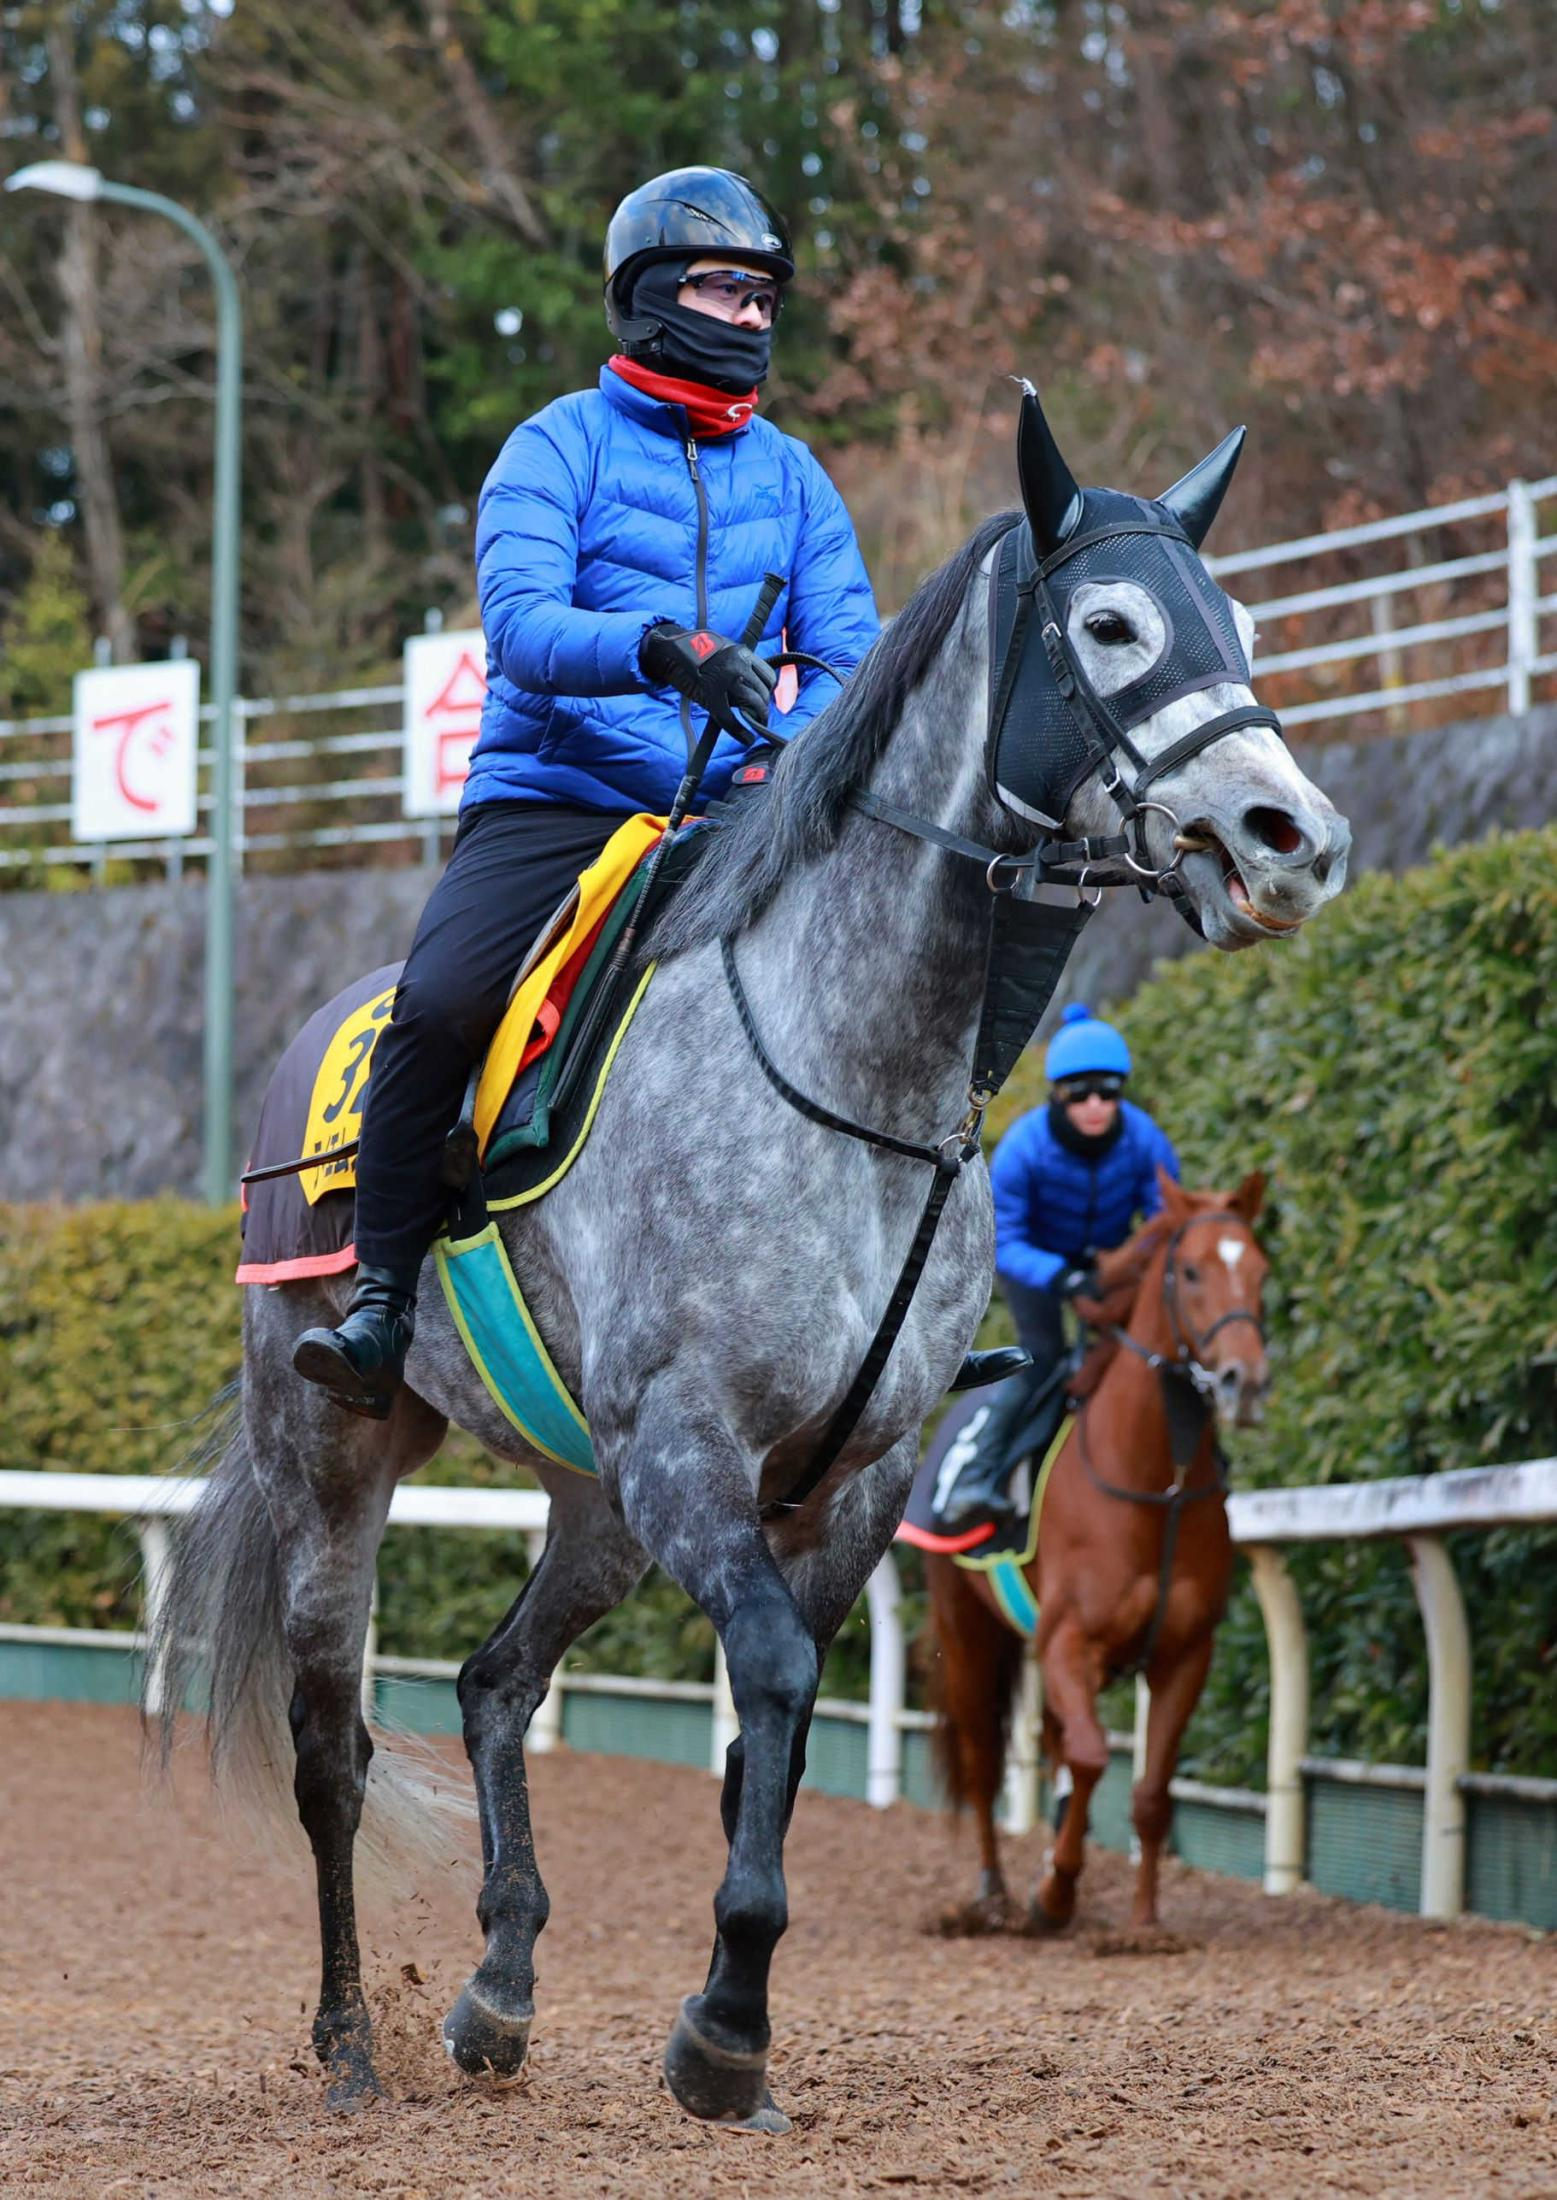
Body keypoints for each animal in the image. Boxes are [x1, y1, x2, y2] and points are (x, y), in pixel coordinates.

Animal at [923, 1170, 1266, 1927]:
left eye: (1262, 1267)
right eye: (1190, 1271)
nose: (1246, 1381)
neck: (1158, 1487)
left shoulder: (1184, 1652)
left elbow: (1150, 1790)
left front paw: (1142, 1923)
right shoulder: (1067, 1639)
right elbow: (1086, 1758)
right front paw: (1053, 1887)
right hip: (964, 1626)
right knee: (983, 1754)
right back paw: (993, 1890)